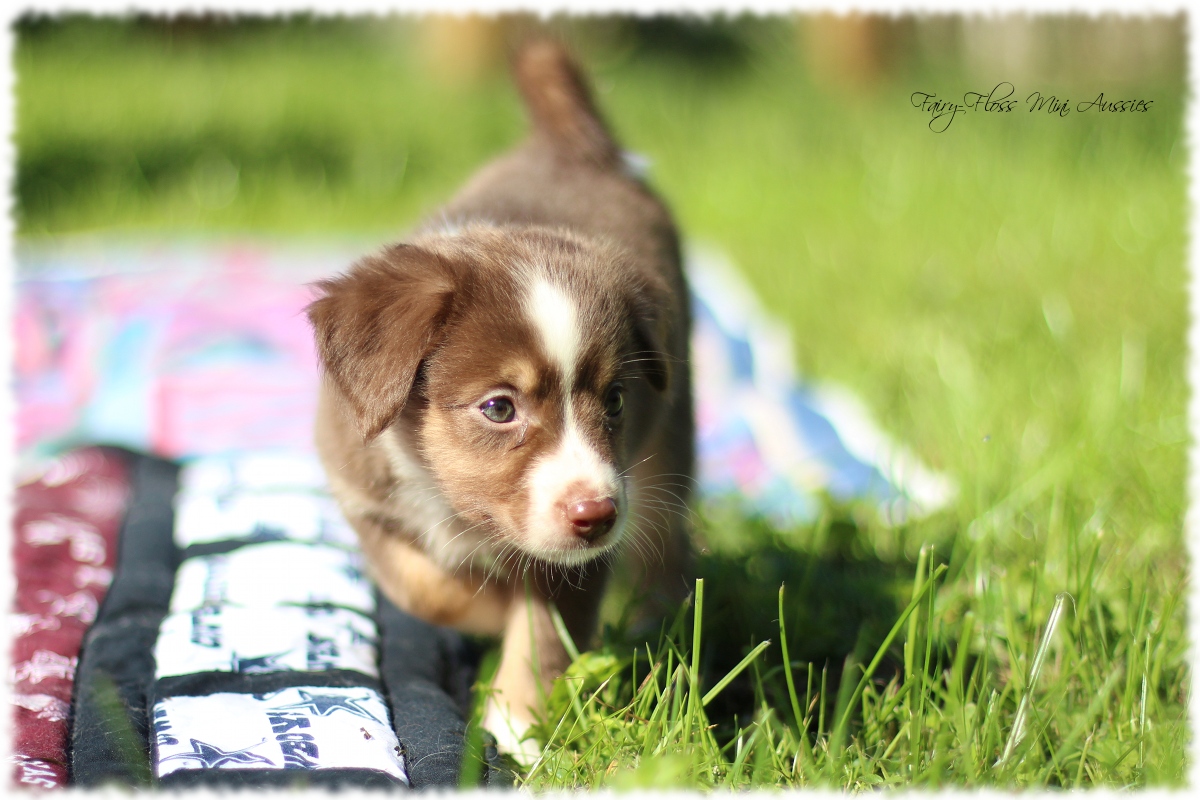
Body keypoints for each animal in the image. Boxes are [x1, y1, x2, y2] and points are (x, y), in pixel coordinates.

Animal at [304, 38, 696, 762]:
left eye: (616, 400)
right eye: (499, 408)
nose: (598, 514)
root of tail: (570, 144)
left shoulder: (581, 557)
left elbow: (542, 641)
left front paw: (516, 729)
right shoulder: (365, 500)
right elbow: (425, 587)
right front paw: (484, 604)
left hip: (668, 447)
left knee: (665, 541)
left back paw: (655, 614)